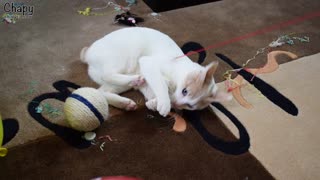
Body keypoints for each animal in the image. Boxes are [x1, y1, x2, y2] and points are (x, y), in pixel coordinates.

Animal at [80, 26, 230, 116]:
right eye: (185, 91)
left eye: (189, 106)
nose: (177, 104)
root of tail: (88, 53)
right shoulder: (148, 63)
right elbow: (161, 84)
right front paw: (164, 102)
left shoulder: (148, 83)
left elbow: (154, 90)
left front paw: (154, 103)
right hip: (121, 60)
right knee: (107, 75)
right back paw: (134, 80)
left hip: (120, 83)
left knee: (100, 92)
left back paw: (125, 103)